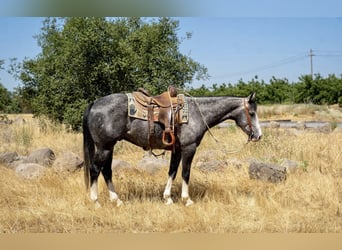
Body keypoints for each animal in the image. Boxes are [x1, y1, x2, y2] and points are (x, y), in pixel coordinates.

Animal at [83, 92, 262, 207]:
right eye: (252, 113)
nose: (259, 136)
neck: (198, 113)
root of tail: (94, 104)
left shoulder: (177, 150)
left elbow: (172, 172)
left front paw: (167, 198)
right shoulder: (189, 148)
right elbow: (185, 173)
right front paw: (187, 200)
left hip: (109, 147)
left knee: (106, 171)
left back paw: (117, 200)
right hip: (104, 147)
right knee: (95, 169)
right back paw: (95, 201)